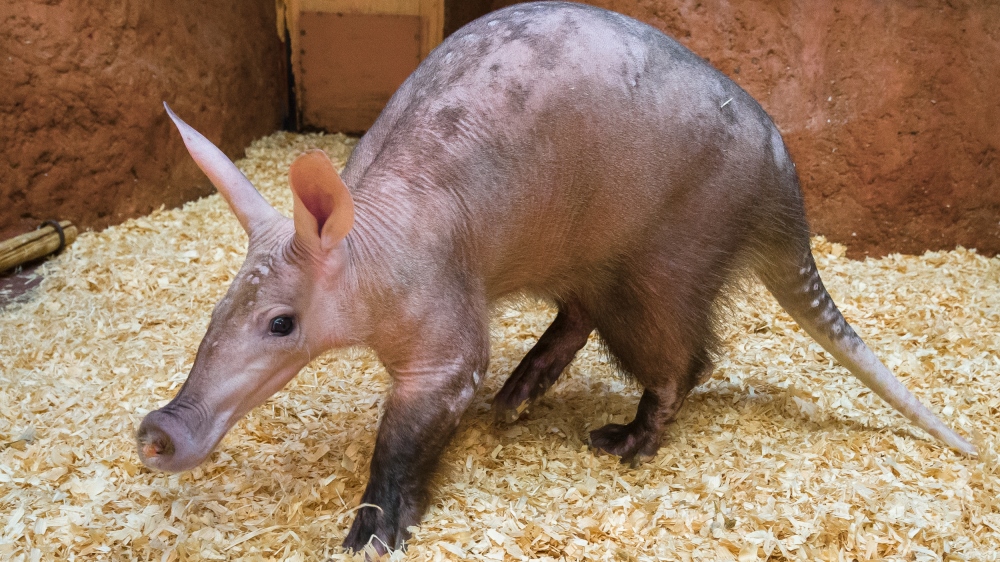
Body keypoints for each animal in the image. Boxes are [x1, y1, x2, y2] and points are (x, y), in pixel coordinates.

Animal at [137, 1, 975, 553]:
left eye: (281, 323)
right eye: (217, 309)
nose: (158, 433)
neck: (370, 237)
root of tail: (784, 188)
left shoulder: (440, 322)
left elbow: (417, 419)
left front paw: (376, 527)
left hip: (666, 255)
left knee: (678, 355)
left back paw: (630, 436)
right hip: (594, 256)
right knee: (580, 316)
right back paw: (521, 390)